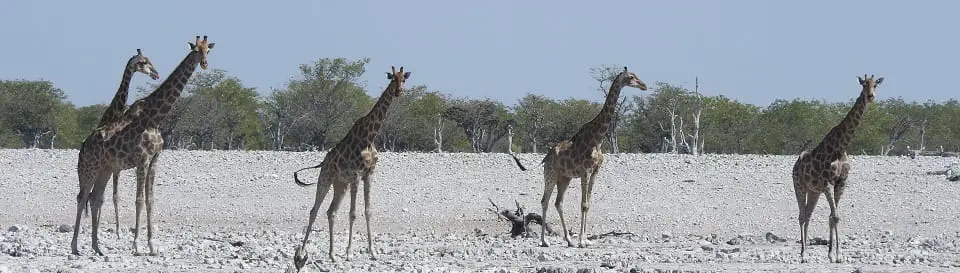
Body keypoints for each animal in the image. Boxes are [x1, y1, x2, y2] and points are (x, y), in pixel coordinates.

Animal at [70, 35, 215, 255]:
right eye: (196, 50)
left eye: (208, 50)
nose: (205, 64)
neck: (155, 118)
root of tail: (84, 145)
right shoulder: (142, 160)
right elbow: (138, 200)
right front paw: (136, 245)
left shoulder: (154, 160)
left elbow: (150, 200)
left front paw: (152, 246)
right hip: (89, 168)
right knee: (82, 197)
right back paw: (75, 246)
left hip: (105, 169)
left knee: (95, 198)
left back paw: (97, 247)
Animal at [292, 66, 412, 268]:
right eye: (392, 79)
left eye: (404, 79)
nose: (398, 92)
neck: (370, 137)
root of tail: (323, 162)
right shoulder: (356, 174)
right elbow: (353, 213)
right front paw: (349, 253)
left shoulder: (369, 174)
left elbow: (368, 211)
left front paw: (373, 252)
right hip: (326, 179)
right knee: (314, 210)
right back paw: (301, 255)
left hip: (341, 184)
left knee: (331, 212)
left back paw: (332, 255)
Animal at [506, 66, 648, 246]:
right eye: (630, 77)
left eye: (636, 76)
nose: (644, 86)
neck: (598, 139)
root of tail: (546, 157)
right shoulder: (585, 171)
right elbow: (583, 204)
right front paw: (581, 241)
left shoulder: (595, 172)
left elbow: (588, 204)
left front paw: (585, 240)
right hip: (550, 174)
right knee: (545, 201)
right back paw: (545, 241)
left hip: (564, 178)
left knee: (558, 202)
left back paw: (568, 240)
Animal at [792, 73, 880, 262]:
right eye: (863, 84)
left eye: (875, 84)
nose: (870, 96)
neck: (840, 148)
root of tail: (795, 165)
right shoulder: (828, 184)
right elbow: (835, 216)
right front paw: (837, 254)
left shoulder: (841, 183)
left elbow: (833, 217)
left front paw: (833, 254)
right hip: (799, 186)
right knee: (801, 216)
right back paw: (803, 254)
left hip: (814, 191)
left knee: (808, 215)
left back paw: (806, 251)